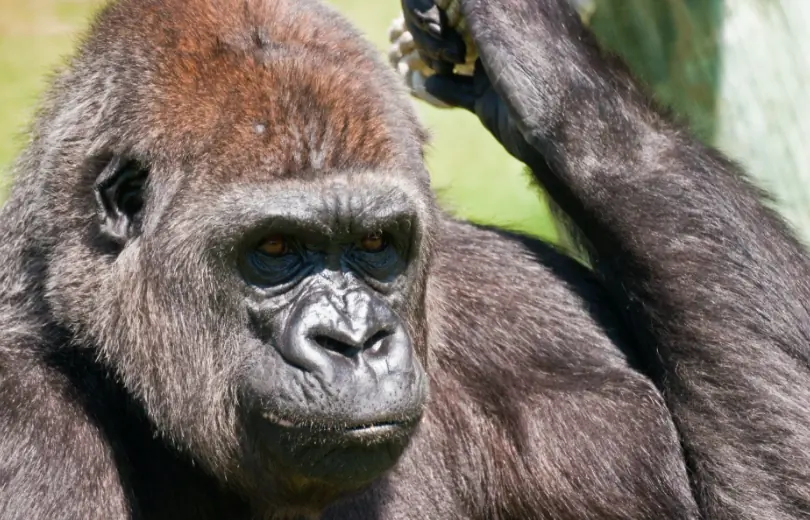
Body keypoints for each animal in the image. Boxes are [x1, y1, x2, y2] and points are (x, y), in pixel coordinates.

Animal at [0, 0, 806, 519]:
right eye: (274, 250)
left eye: (375, 246)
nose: (355, 341)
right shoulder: (23, 417)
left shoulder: (544, 322)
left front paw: (550, 75)